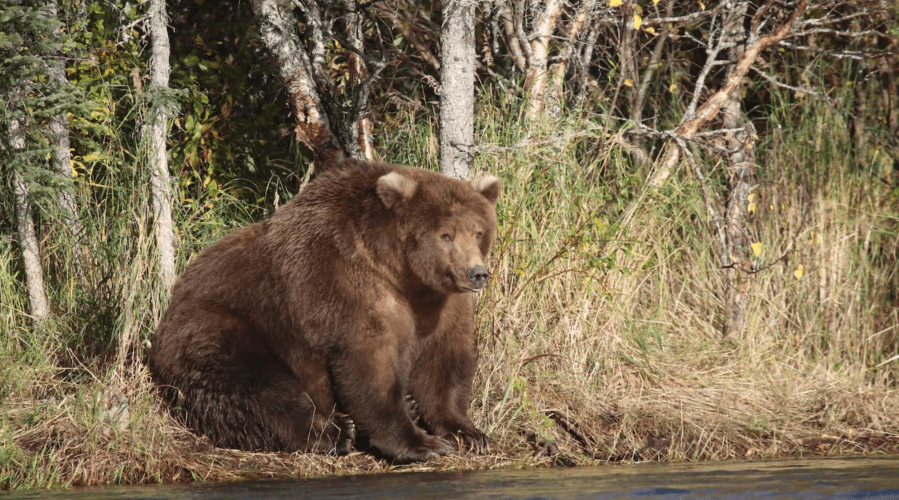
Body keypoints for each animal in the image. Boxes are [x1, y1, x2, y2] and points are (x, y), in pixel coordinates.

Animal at [148, 157, 501, 463]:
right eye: (446, 234)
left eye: (478, 231)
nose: (477, 273)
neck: (400, 273)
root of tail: (169, 309)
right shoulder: (344, 284)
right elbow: (369, 365)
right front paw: (421, 443)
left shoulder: (440, 304)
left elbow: (444, 361)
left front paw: (468, 433)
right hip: (222, 328)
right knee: (257, 387)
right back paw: (336, 432)